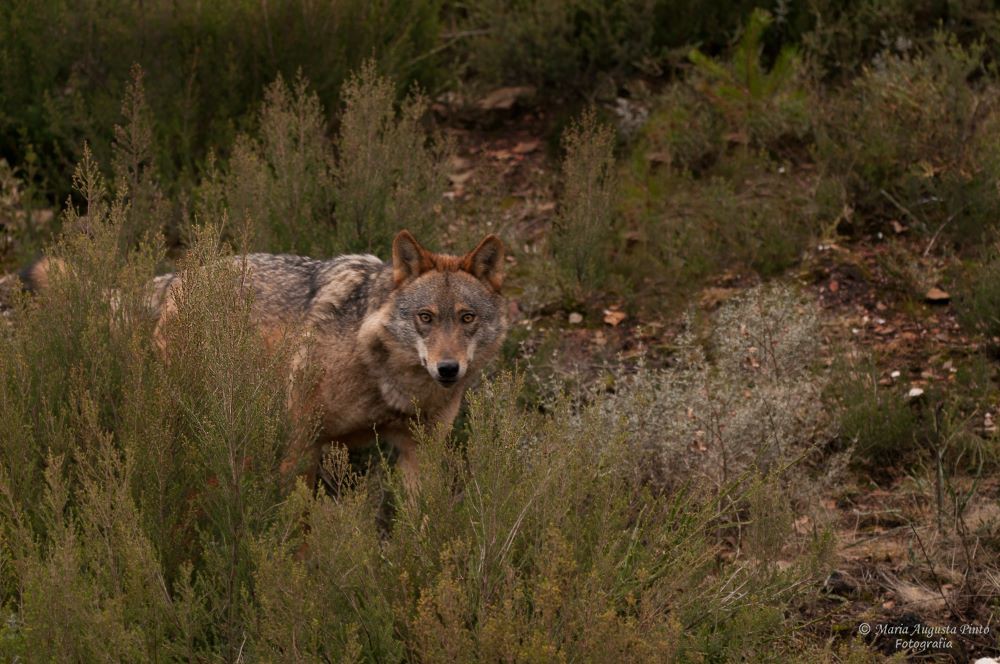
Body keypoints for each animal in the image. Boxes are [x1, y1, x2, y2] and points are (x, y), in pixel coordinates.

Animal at [17, 231, 508, 490]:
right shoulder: (303, 441)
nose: (448, 369)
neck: (390, 384)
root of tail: (176, 278)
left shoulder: (418, 454)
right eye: (425, 318)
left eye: (467, 318)